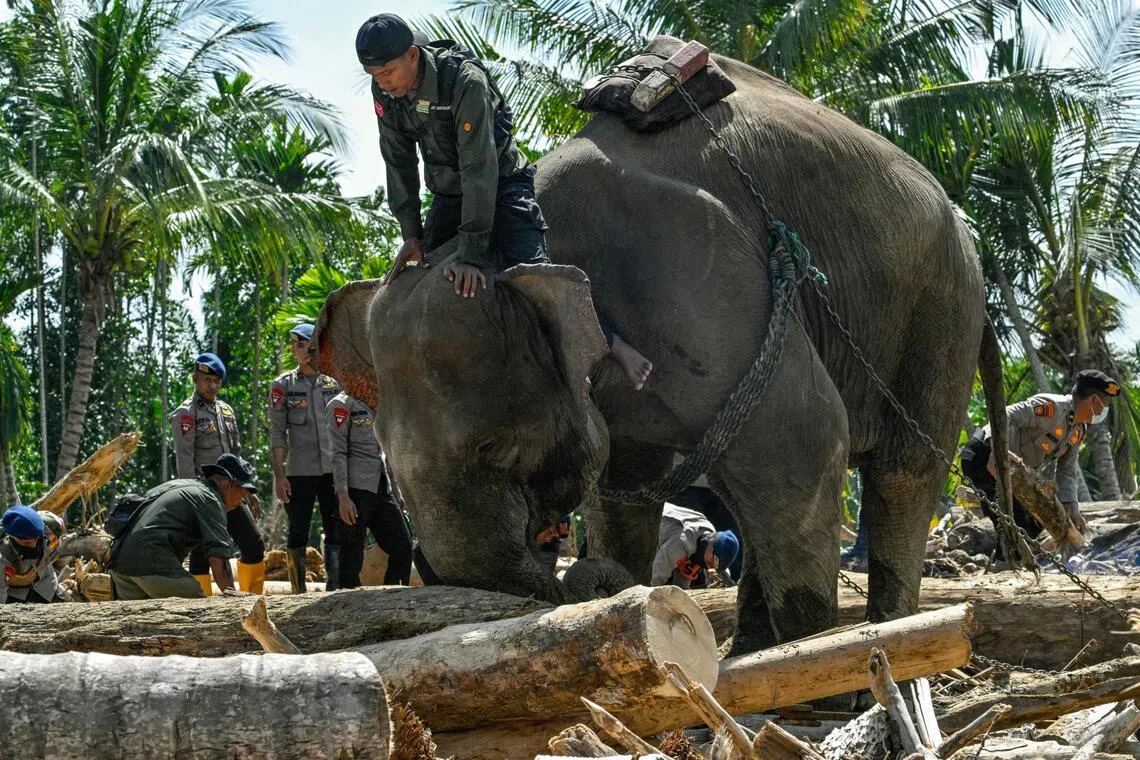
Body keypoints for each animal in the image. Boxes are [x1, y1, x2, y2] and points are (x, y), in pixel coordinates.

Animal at [316, 44, 1007, 655]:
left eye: (500, 448)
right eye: (391, 473)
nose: (570, 573)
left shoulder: (699, 280)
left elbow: (804, 440)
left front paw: (818, 667)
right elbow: (627, 490)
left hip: (941, 305)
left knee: (899, 472)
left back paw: (885, 637)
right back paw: (753, 647)